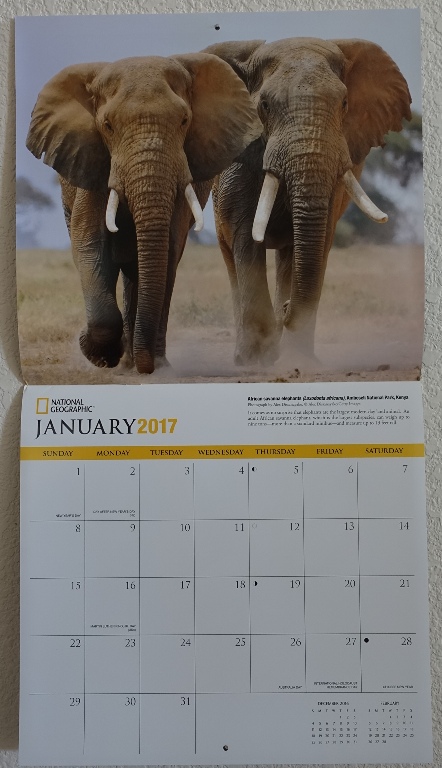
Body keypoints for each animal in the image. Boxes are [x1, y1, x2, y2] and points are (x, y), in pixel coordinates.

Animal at [26, 54, 261, 374]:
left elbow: (167, 250)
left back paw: (143, 361)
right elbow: (89, 245)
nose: (146, 366)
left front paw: (130, 359)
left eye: (184, 120)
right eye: (107, 125)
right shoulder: (94, 162)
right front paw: (98, 353)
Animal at [202, 38, 412, 366]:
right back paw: (245, 357)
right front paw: (259, 361)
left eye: (344, 104)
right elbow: (246, 236)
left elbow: (317, 241)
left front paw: (297, 361)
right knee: (231, 257)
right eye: (264, 106)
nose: (286, 310)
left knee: (290, 255)